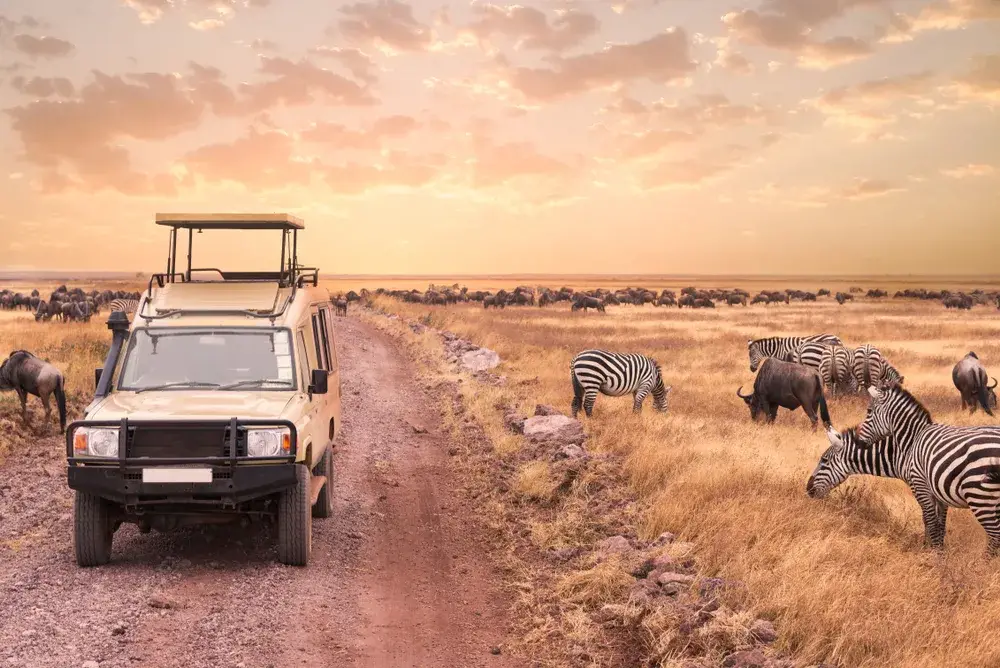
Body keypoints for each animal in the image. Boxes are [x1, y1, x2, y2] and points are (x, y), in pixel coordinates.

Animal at [856, 384, 1000, 556]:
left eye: (869, 411)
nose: (859, 443)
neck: (913, 438)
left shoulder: (920, 486)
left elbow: (930, 522)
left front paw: (934, 555)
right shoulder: (938, 491)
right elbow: (939, 524)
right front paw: (938, 550)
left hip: (980, 496)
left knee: (995, 535)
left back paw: (981, 561)